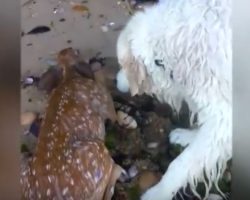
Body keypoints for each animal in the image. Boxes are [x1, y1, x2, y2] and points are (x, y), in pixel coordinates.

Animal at [115, 0, 232, 199]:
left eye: (123, 65)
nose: (116, 81)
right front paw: (189, 136)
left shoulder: (225, 117)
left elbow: (182, 164)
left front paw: (159, 192)